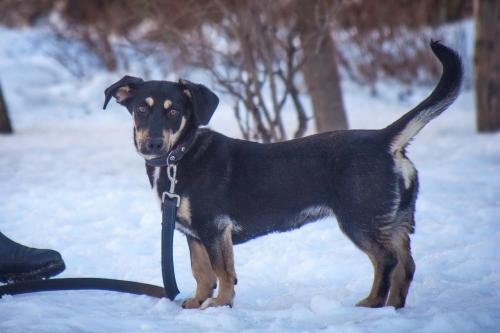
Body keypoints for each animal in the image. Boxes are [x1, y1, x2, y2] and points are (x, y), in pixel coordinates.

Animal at [102, 41, 464, 308]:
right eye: (141, 109)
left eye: (174, 111)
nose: (152, 143)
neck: (180, 156)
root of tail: (384, 139)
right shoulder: (194, 233)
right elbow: (201, 272)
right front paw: (196, 304)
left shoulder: (214, 228)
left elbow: (223, 271)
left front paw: (220, 306)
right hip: (396, 219)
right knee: (406, 265)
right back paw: (392, 308)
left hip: (361, 219)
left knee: (386, 262)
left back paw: (371, 304)